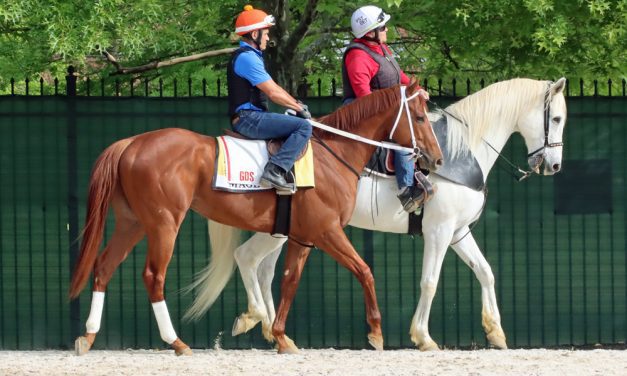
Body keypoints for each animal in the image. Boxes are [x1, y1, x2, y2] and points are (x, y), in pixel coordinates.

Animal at [68, 81, 444, 356]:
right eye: (420, 118)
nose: (436, 159)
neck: (333, 154)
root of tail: (131, 143)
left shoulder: (303, 236)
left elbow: (290, 280)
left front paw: (280, 336)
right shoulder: (327, 231)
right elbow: (364, 270)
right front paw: (376, 332)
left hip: (133, 223)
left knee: (104, 266)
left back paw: (88, 336)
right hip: (164, 224)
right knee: (153, 276)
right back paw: (176, 341)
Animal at [183, 78, 568, 352]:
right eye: (557, 118)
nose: (554, 165)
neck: (462, 152)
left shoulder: (459, 232)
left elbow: (486, 272)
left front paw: (495, 331)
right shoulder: (439, 232)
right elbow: (429, 282)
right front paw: (422, 336)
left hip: (281, 229)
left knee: (255, 264)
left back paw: (264, 324)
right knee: (250, 260)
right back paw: (262, 321)